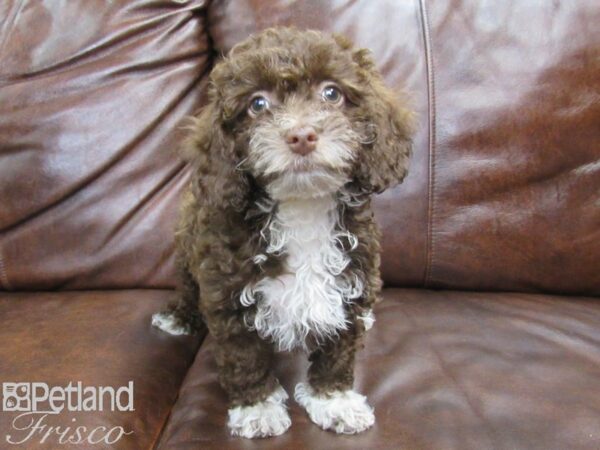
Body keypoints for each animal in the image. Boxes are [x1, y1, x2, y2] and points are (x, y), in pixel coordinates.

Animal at [152, 26, 412, 438]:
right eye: (257, 104)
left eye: (332, 93)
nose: (301, 135)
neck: (302, 207)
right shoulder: (227, 290)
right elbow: (242, 354)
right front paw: (257, 407)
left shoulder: (352, 277)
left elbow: (339, 348)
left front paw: (334, 400)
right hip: (186, 253)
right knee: (189, 291)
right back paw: (178, 317)